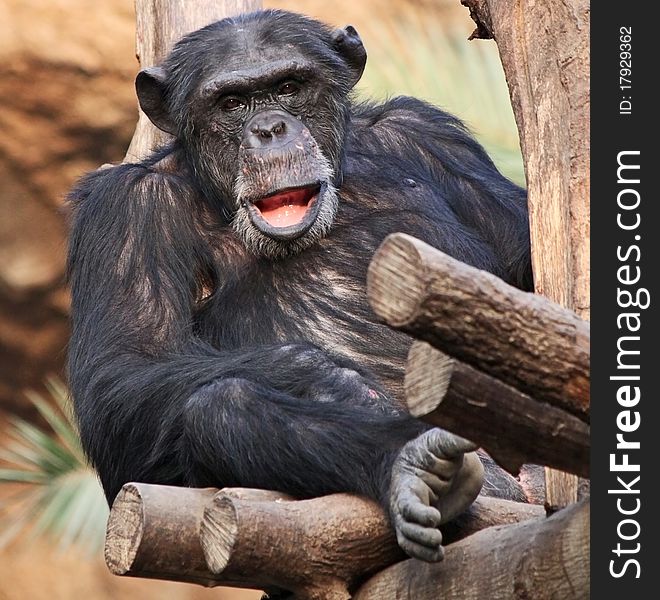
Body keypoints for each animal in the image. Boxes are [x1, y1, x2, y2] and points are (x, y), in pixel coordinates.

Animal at [67, 9, 532, 564]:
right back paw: (412, 468)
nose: (270, 128)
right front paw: (323, 379)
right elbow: (122, 372)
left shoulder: (432, 138)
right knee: (218, 407)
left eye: (288, 86)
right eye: (232, 103)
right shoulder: (126, 209)